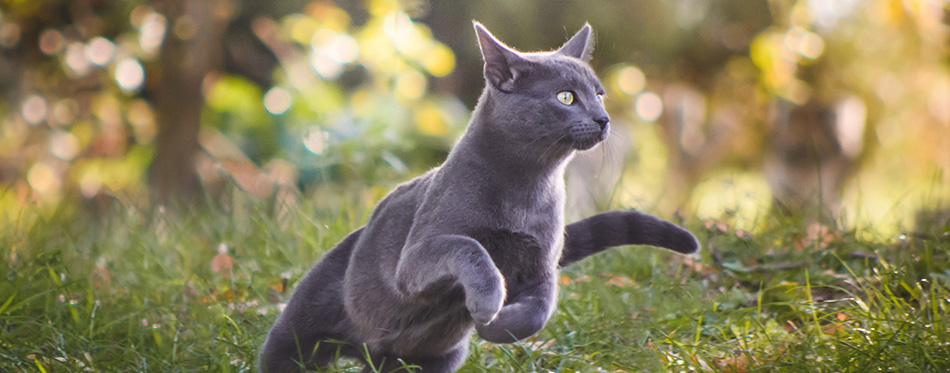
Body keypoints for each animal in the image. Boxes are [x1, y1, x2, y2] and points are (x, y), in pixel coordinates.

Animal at [260, 21, 700, 370]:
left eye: (600, 94)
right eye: (566, 97)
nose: (603, 119)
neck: (525, 188)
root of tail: (366, 351)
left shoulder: (541, 265)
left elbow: (541, 310)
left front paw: (497, 327)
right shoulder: (416, 258)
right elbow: (467, 245)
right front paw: (488, 302)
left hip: (428, 360)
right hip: (299, 330)